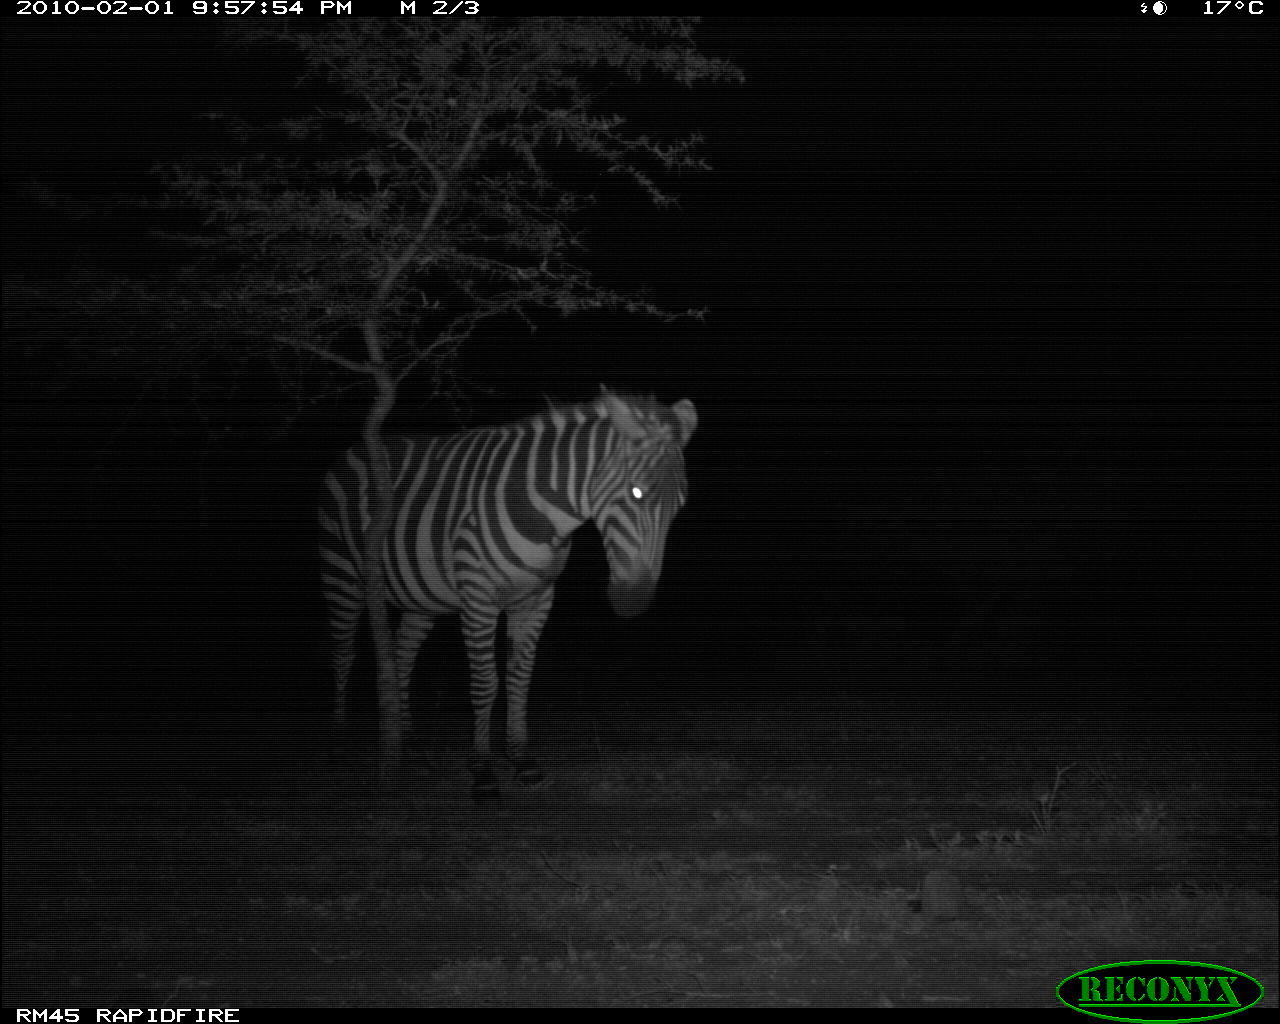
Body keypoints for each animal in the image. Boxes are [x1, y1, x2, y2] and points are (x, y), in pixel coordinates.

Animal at [320, 389, 701, 793]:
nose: (634, 603)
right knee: (343, 653)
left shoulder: (537, 599)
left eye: (679, 507)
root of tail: (357, 449)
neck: (546, 516)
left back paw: (409, 742)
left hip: (421, 597)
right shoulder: (478, 596)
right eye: (636, 493)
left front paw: (521, 759)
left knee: (402, 654)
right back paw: (338, 743)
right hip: (340, 574)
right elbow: (485, 683)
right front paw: (482, 769)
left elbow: (520, 678)